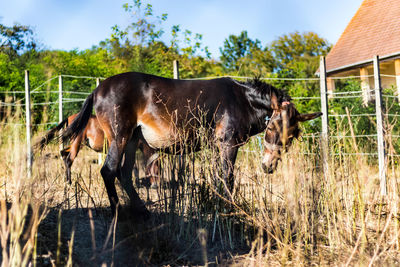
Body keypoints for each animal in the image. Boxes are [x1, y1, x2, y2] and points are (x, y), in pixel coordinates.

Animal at [39, 73, 322, 218]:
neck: (242, 100)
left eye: (292, 136)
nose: (269, 167)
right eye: (272, 129)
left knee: (124, 174)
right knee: (108, 171)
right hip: (120, 137)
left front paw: (216, 205)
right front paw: (229, 208)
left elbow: (219, 178)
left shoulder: (218, 148)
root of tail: (98, 90)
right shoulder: (228, 145)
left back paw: (141, 210)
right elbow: (227, 178)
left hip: (132, 140)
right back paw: (118, 213)